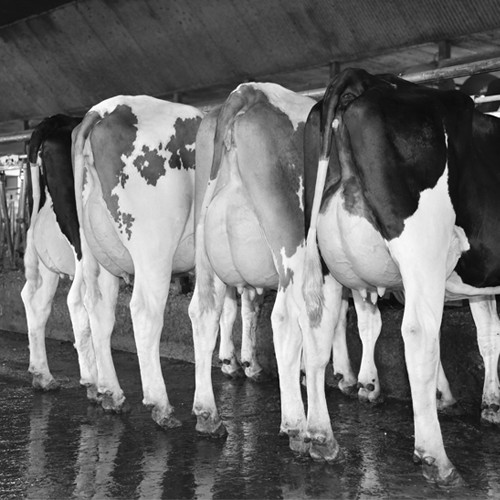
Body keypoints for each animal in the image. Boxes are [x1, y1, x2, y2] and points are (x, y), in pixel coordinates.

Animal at [20, 115, 98, 396]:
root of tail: (59, 119)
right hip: (79, 239)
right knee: (77, 299)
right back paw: (94, 382)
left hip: (46, 245)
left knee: (35, 300)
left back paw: (42, 375)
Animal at [302, 68, 500, 486]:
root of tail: (365, 78)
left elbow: (489, 335)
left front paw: (492, 405)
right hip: (422, 247)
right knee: (419, 334)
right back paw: (436, 458)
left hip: (322, 258)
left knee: (317, 329)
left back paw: (321, 438)